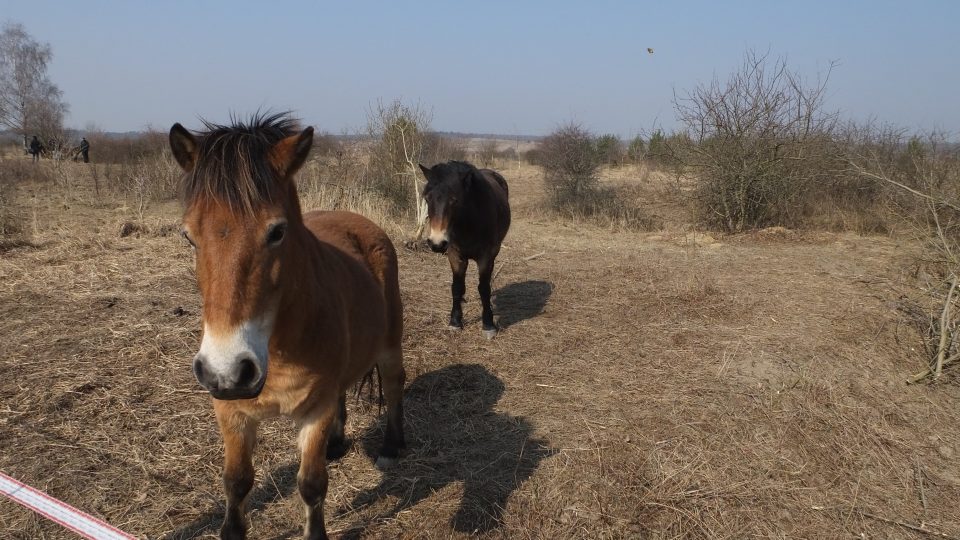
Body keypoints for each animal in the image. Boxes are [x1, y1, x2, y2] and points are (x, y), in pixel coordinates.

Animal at [171, 112, 404, 536]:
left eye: (277, 232)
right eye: (188, 236)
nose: (227, 370)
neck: (276, 348)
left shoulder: (315, 412)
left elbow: (311, 485)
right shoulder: (230, 413)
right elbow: (237, 482)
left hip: (391, 345)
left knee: (395, 384)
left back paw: (392, 447)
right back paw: (337, 444)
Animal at [420, 159, 510, 338]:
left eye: (454, 200)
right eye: (427, 198)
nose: (436, 243)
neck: (468, 223)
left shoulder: (485, 257)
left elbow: (484, 288)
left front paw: (488, 325)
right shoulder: (455, 256)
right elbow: (457, 287)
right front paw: (455, 322)